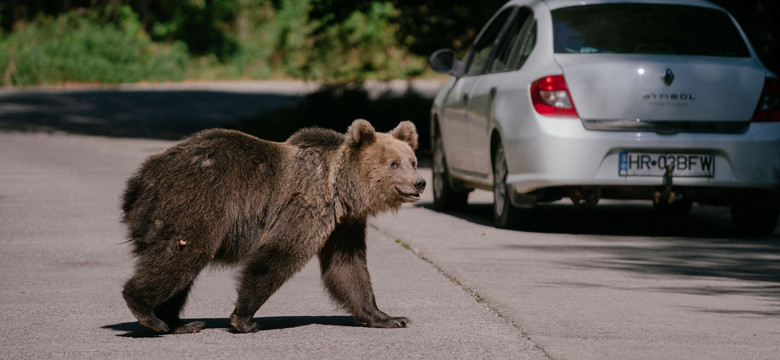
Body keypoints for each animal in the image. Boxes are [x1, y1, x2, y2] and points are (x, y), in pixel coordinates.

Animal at [120, 119, 426, 334]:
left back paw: (179, 322)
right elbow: (279, 254)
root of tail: (141, 179)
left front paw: (389, 317)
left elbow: (347, 267)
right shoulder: (307, 205)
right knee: (181, 255)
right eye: (394, 164)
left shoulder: (343, 225)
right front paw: (244, 319)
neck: (340, 190)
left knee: (181, 267)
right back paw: (147, 312)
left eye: (412, 161)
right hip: (196, 202)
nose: (420, 182)